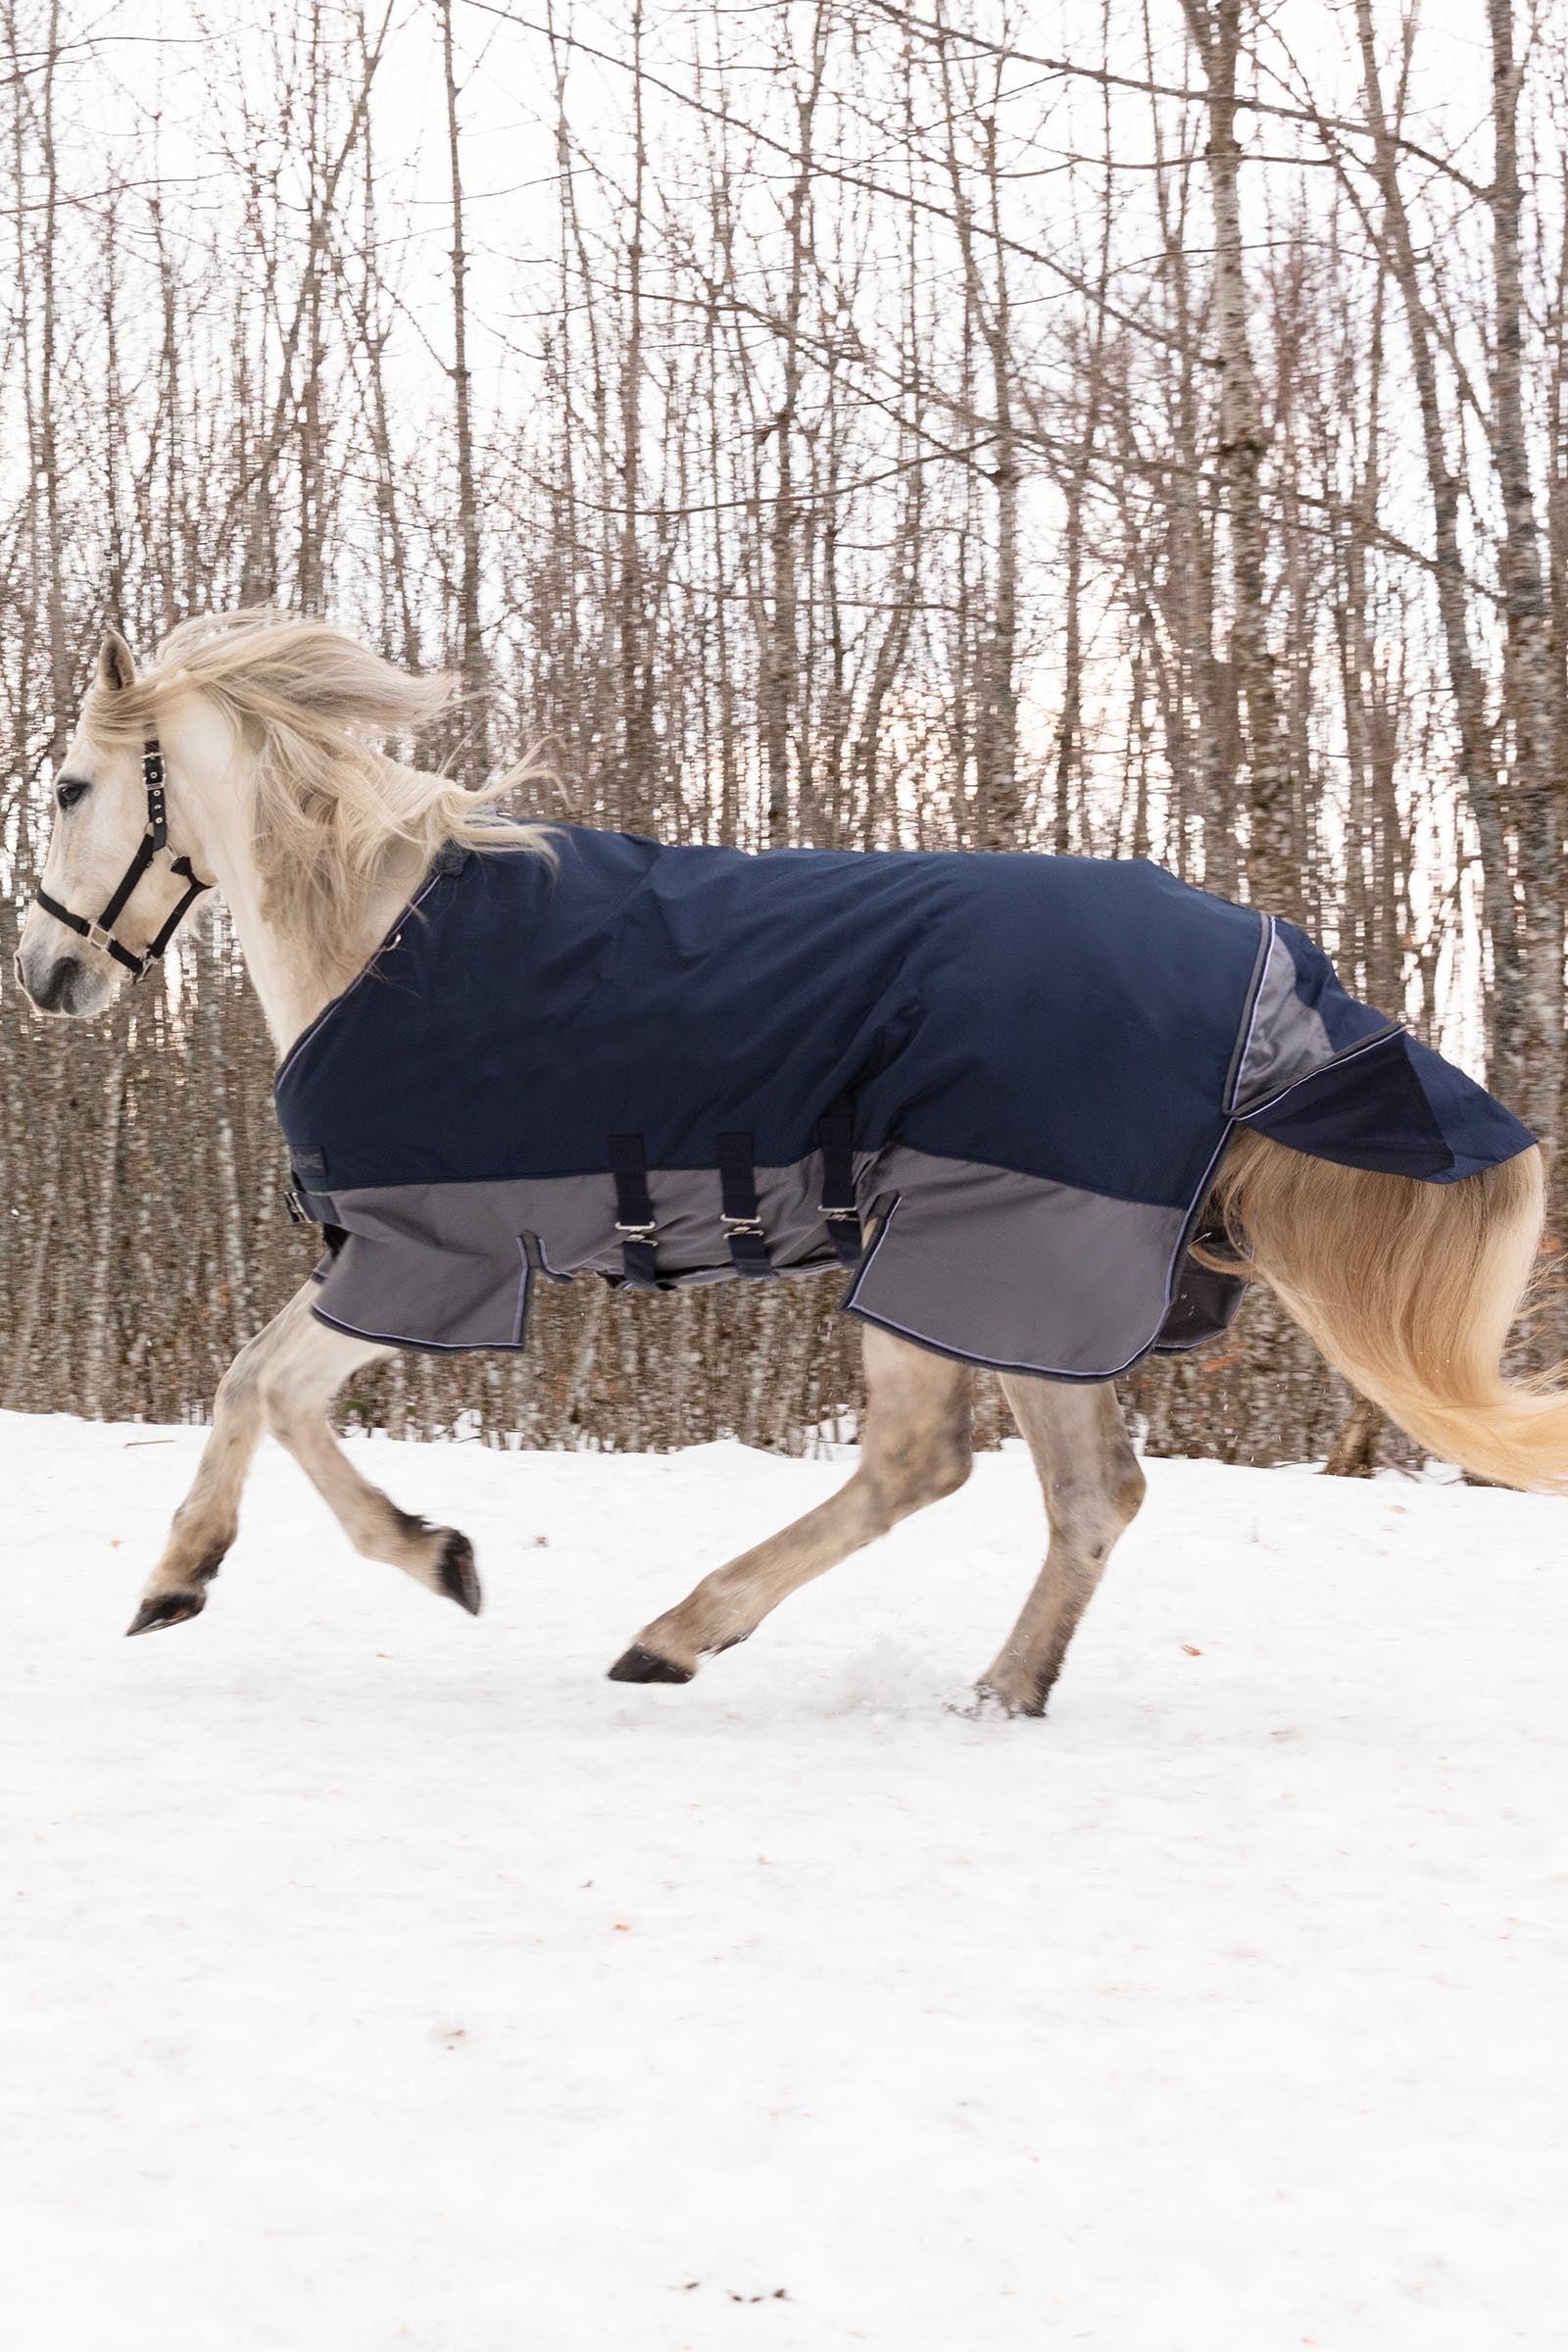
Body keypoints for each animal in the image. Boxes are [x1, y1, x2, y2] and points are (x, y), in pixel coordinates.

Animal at [13, 613, 1559, 1717]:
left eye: (71, 785)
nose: (44, 975)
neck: (381, 931)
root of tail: (1265, 973)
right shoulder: (397, 1259)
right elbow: (255, 1389)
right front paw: (203, 1579)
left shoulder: (425, 1257)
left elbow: (263, 1389)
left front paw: (366, 1564)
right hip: (1023, 1286)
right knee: (1083, 1496)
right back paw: (992, 1694)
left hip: (968, 1256)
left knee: (932, 1466)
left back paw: (681, 1637)